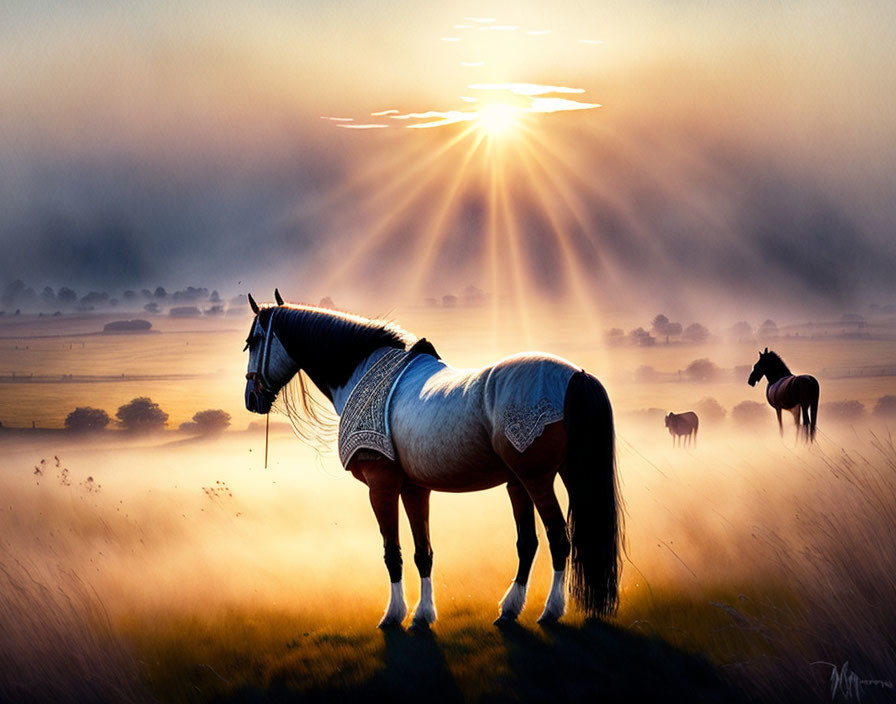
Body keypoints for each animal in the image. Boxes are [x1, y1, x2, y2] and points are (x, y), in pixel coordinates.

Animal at [245, 288, 624, 628]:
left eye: (254, 340)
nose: (251, 397)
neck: (362, 371)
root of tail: (576, 376)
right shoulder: (414, 489)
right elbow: (422, 553)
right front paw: (423, 615)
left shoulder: (380, 486)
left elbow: (392, 554)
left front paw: (393, 615)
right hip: (534, 480)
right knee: (528, 543)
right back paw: (509, 610)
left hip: (537, 479)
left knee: (558, 539)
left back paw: (550, 611)